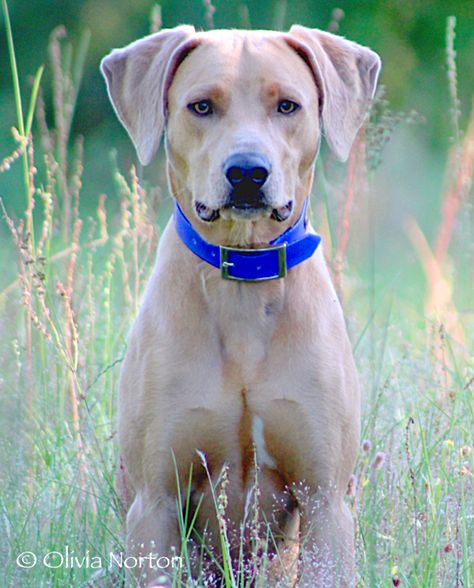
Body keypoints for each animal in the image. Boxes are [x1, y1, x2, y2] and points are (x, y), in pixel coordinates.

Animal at [102, 24, 380, 588]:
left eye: (288, 105)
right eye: (201, 106)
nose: (248, 172)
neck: (245, 279)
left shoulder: (324, 503)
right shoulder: (155, 503)